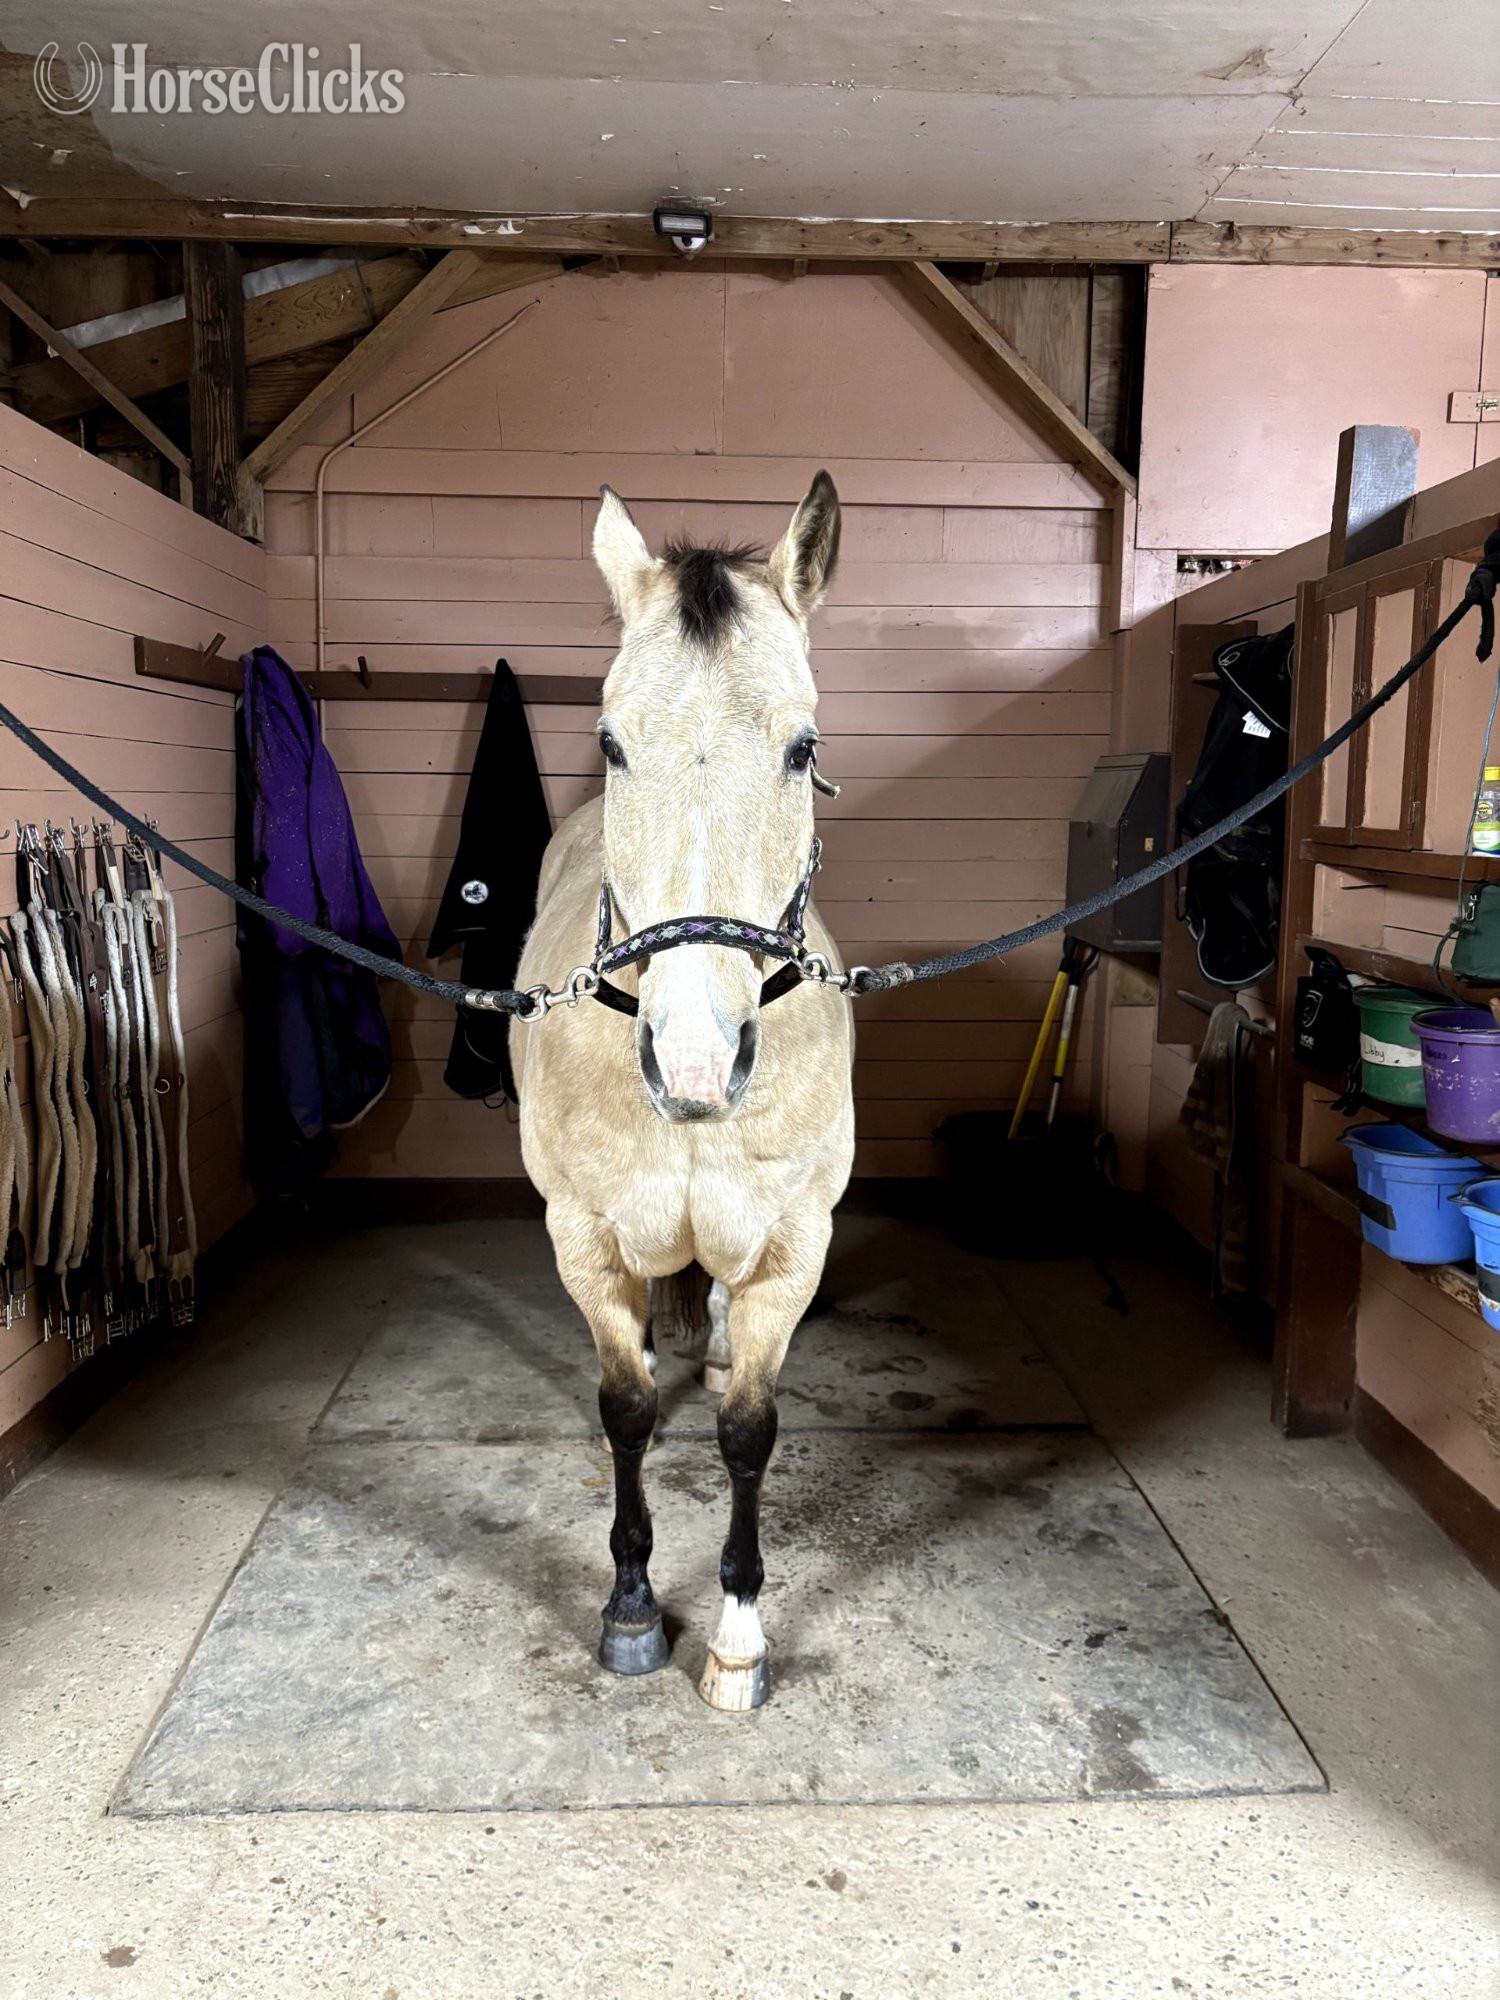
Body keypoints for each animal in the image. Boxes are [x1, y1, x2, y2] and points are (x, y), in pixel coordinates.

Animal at [510, 473, 855, 1712]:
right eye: (613, 741)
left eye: (802, 747)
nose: (697, 1063)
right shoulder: (581, 1234)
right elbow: (621, 1409)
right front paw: (628, 1608)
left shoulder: (794, 1247)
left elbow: (750, 1428)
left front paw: (739, 1635)